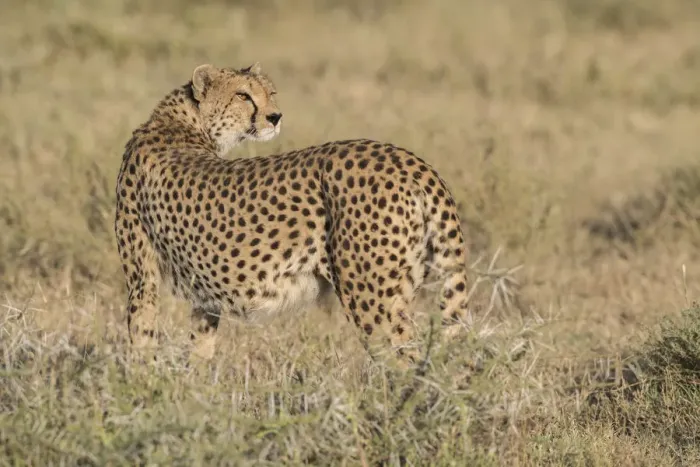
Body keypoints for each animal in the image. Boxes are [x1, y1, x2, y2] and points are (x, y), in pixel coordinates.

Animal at [115, 62, 472, 367]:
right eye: (243, 95)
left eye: (270, 92)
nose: (275, 116)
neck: (183, 122)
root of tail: (412, 161)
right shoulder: (204, 295)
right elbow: (199, 351)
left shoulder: (142, 277)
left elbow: (141, 338)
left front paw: (142, 390)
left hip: (371, 298)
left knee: (409, 365)